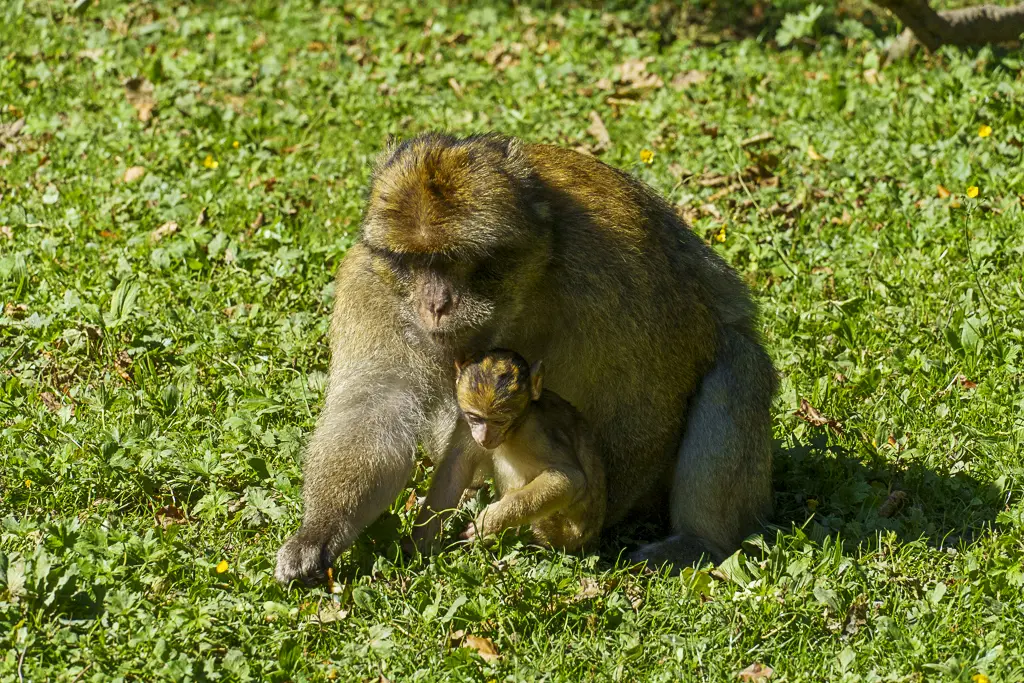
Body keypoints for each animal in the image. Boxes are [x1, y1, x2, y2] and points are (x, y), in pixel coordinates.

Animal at [451, 349, 605, 551]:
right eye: (474, 418)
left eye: (499, 421)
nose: (484, 438)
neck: (518, 425)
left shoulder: (532, 434)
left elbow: (571, 478)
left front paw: (490, 523)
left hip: (556, 531)